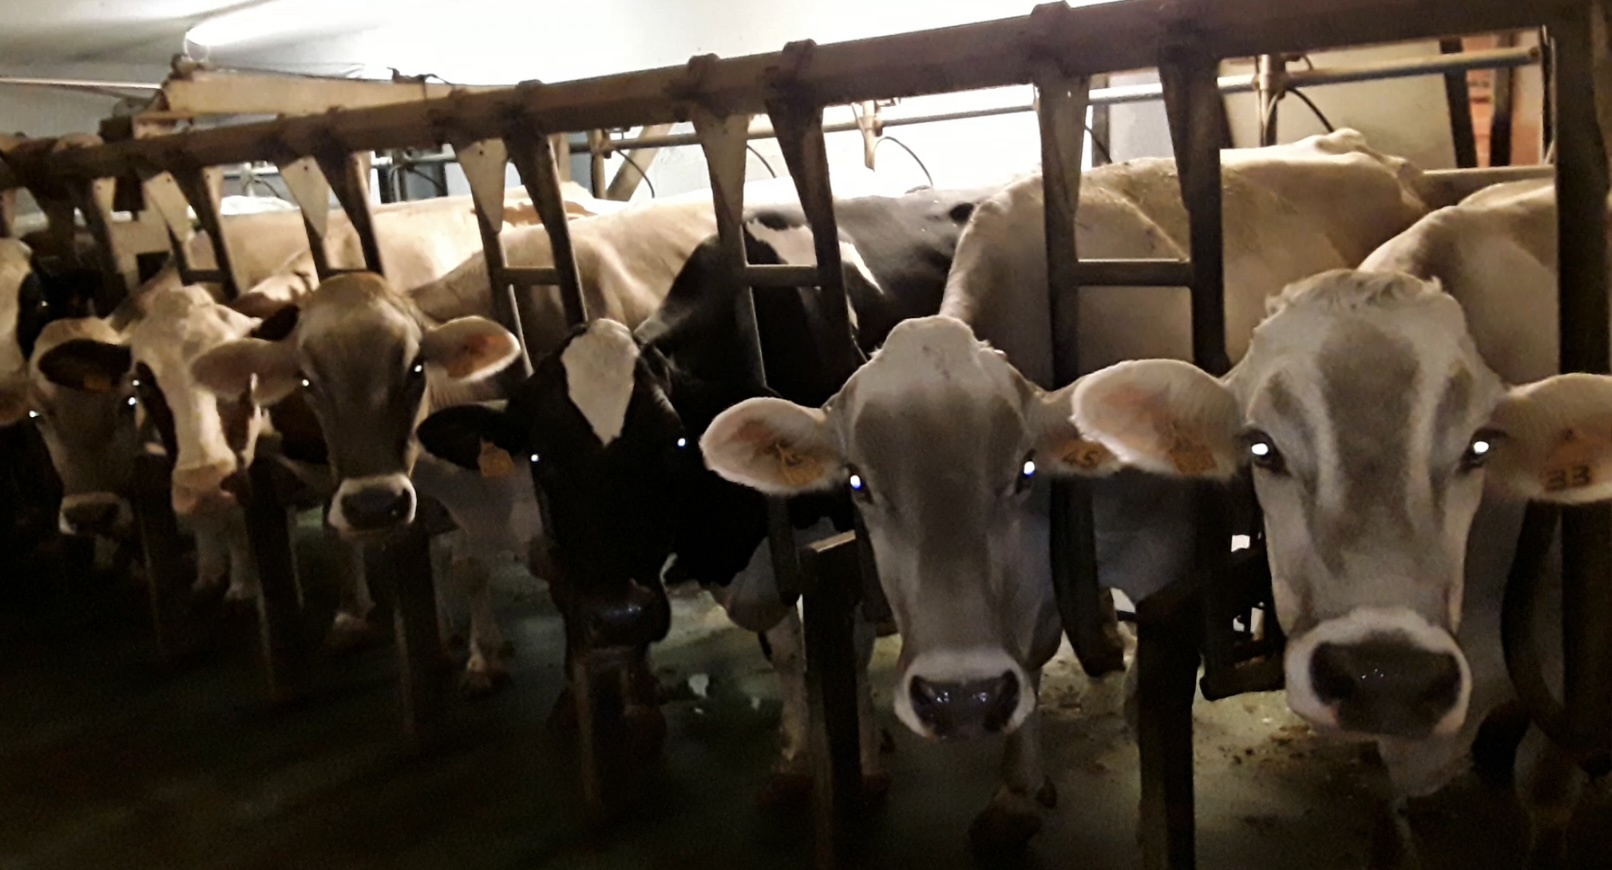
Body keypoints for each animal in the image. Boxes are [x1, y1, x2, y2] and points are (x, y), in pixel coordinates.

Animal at [409, 185, 991, 805]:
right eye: (540, 458)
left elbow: (846, 644)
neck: (729, 532)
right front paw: (796, 755)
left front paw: (864, 757)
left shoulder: (841, 526)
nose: (618, 615)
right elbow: (784, 648)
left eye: (676, 444)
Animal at [697, 129, 1432, 849]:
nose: (957, 698)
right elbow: (1027, 655)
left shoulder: (1168, 554)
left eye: (1025, 470)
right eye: (858, 484)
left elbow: (1148, 691)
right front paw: (1017, 791)